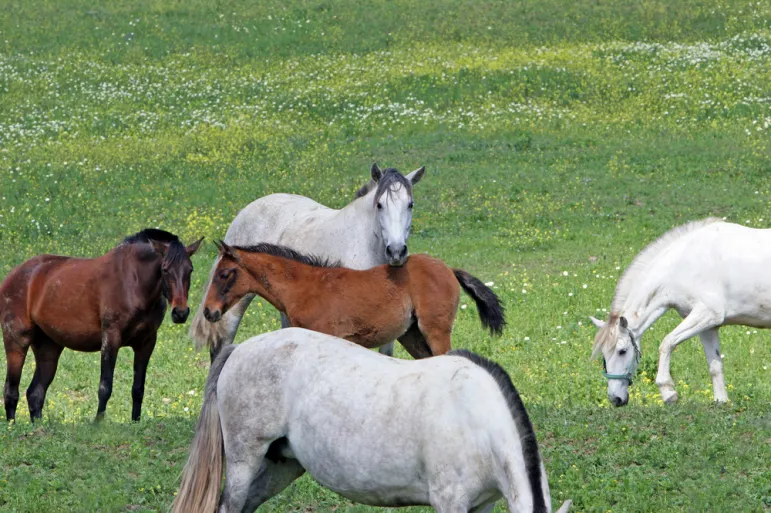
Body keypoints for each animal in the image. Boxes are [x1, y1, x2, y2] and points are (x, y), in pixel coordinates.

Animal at [0, 228, 204, 420]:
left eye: (190, 269)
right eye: (165, 269)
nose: (180, 313)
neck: (133, 283)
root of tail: (14, 275)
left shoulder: (146, 343)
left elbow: (138, 389)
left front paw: (135, 422)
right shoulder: (111, 338)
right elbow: (105, 387)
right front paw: (98, 423)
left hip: (48, 347)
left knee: (35, 393)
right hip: (17, 343)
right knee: (11, 390)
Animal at [173, 328, 572, 512]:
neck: (474, 416)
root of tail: (239, 349)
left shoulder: (483, 504)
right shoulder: (449, 501)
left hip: (281, 465)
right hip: (244, 459)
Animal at [202, 242, 504, 358]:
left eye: (224, 274)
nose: (208, 311)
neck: (303, 288)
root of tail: (449, 269)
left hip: (435, 330)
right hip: (411, 334)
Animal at [592, 218, 764, 406]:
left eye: (622, 351)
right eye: (604, 353)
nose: (615, 399)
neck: (682, 265)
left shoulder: (707, 314)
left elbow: (667, 343)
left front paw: (667, 391)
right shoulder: (707, 327)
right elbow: (715, 366)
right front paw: (721, 401)